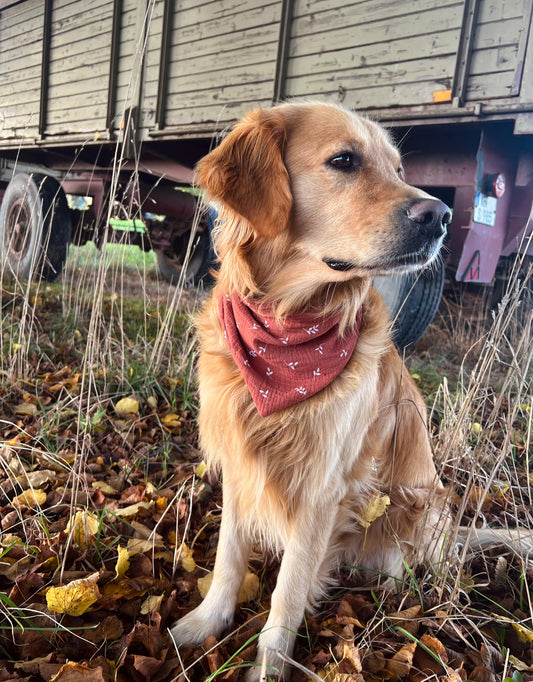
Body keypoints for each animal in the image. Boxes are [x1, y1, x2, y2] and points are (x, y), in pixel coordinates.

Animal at [170, 99, 454, 676]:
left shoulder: (322, 489)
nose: (441, 216)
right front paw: (207, 622)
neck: (287, 332)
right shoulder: (242, 462)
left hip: (422, 506)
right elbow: (229, 556)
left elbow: (288, 589)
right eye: (344, 160)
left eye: (399, 170)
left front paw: (269, 667)